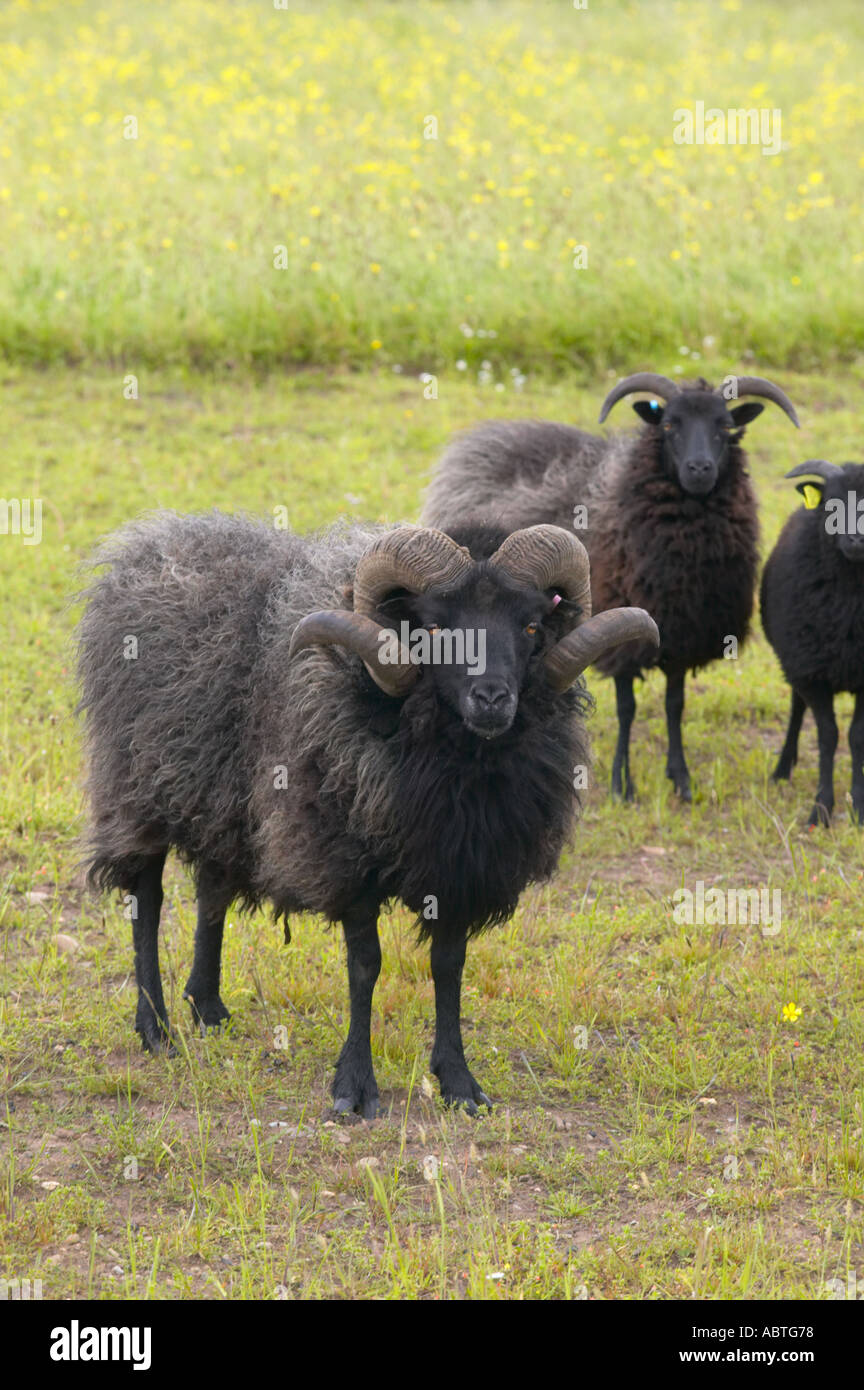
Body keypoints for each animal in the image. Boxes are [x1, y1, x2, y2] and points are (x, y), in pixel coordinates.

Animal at [76, 511, 657, 1115]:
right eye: (433, 629)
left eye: (531, 628)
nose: (493, 700)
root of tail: (153, 537)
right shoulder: (345, 858)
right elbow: (366, 967)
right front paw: (354, 1086)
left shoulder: (463, 869)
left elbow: (448, 966)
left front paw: (459, 1082)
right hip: (136, 786)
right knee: (146, 900)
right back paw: (155, 1027)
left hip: (223, 800)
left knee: (212, 889)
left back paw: (207, 1007)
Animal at [423, 373, 800, 802]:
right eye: (669, 425)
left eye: (725, 426)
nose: (700, 469)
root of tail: (487, 433)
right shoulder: (620, 636)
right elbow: (627, 708)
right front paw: (623, 783)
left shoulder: (682, 633)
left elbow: (675, 704)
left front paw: (680, 778)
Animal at [761, 460, 864, 826]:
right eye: (832, 503)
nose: (856, 539)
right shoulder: (811, 673)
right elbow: (828, 736)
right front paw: (821, 808)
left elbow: (856, 736)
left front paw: (858, 806)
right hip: (796, 661)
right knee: (796, 708)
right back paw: (782, 768)